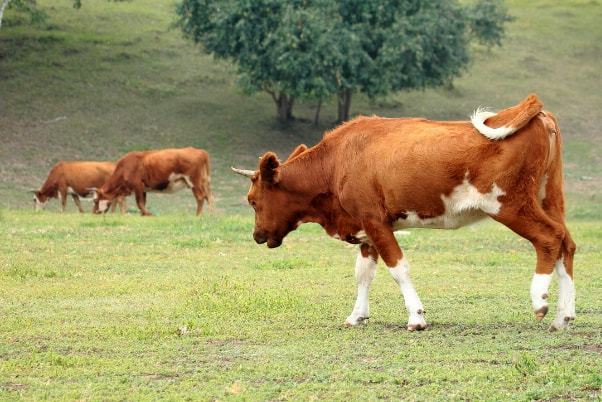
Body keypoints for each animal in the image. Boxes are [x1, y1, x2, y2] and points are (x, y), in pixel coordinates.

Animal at [232, 95, 576, 332]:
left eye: (253, 200)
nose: (257, 235)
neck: (336, 162)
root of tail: (537, 112)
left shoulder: (375, 221)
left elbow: (398, 268)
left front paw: (416, 317)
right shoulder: (365, 229)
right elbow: (364, 273)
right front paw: (357, 315)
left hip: (509, 204)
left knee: (549, 238)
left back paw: (540, 301)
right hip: (550, 198)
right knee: (566, 243)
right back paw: (564, 315)